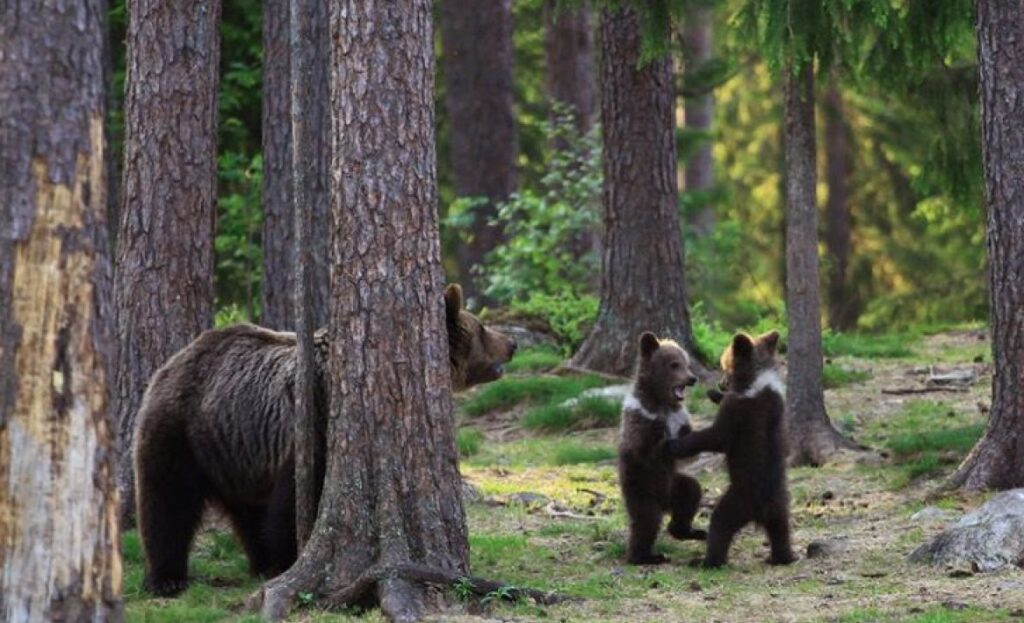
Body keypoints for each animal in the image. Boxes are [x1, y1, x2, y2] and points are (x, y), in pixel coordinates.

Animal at [136, 284, 516, 594]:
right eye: (483, 328)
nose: (512, 344)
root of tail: (175, 358)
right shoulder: (312, 430)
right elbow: (292, 505)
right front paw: (289, 558)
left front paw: (278, 561)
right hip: (183, 431)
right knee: (168, 501)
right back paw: (167, 578)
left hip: (236, 451)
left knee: (247, 511)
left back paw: (259, 562)